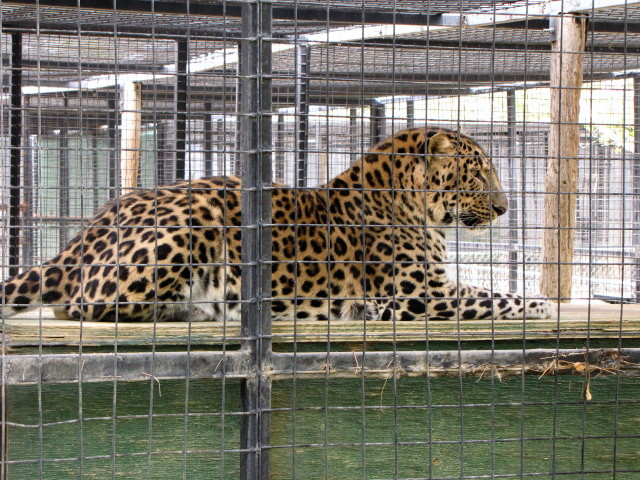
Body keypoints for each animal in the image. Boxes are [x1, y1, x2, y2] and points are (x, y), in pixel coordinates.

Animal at [0, 126, 553, 322]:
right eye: (478, 173)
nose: (505, 208)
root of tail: (84, 233)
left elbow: (493, 292)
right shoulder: (422, 294)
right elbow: (495, 296)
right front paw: (542, 304)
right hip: (193, 220)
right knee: (86, 306)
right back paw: (203, 308)